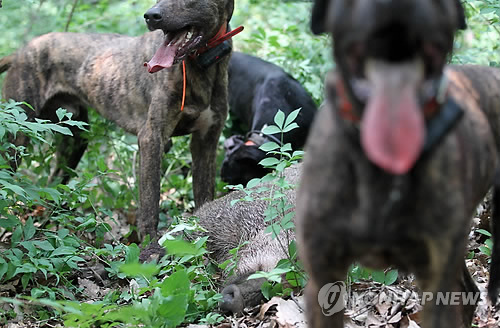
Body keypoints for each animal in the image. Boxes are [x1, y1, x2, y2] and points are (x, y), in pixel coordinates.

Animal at [0, 0, 236, 238]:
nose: (151, 16)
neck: (202, 67)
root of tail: (20, 52)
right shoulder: (152, 138)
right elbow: (150, 205)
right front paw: (149, 245)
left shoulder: (206, 141)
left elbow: (204, 196)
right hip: (17, 134)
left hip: (75, 141)